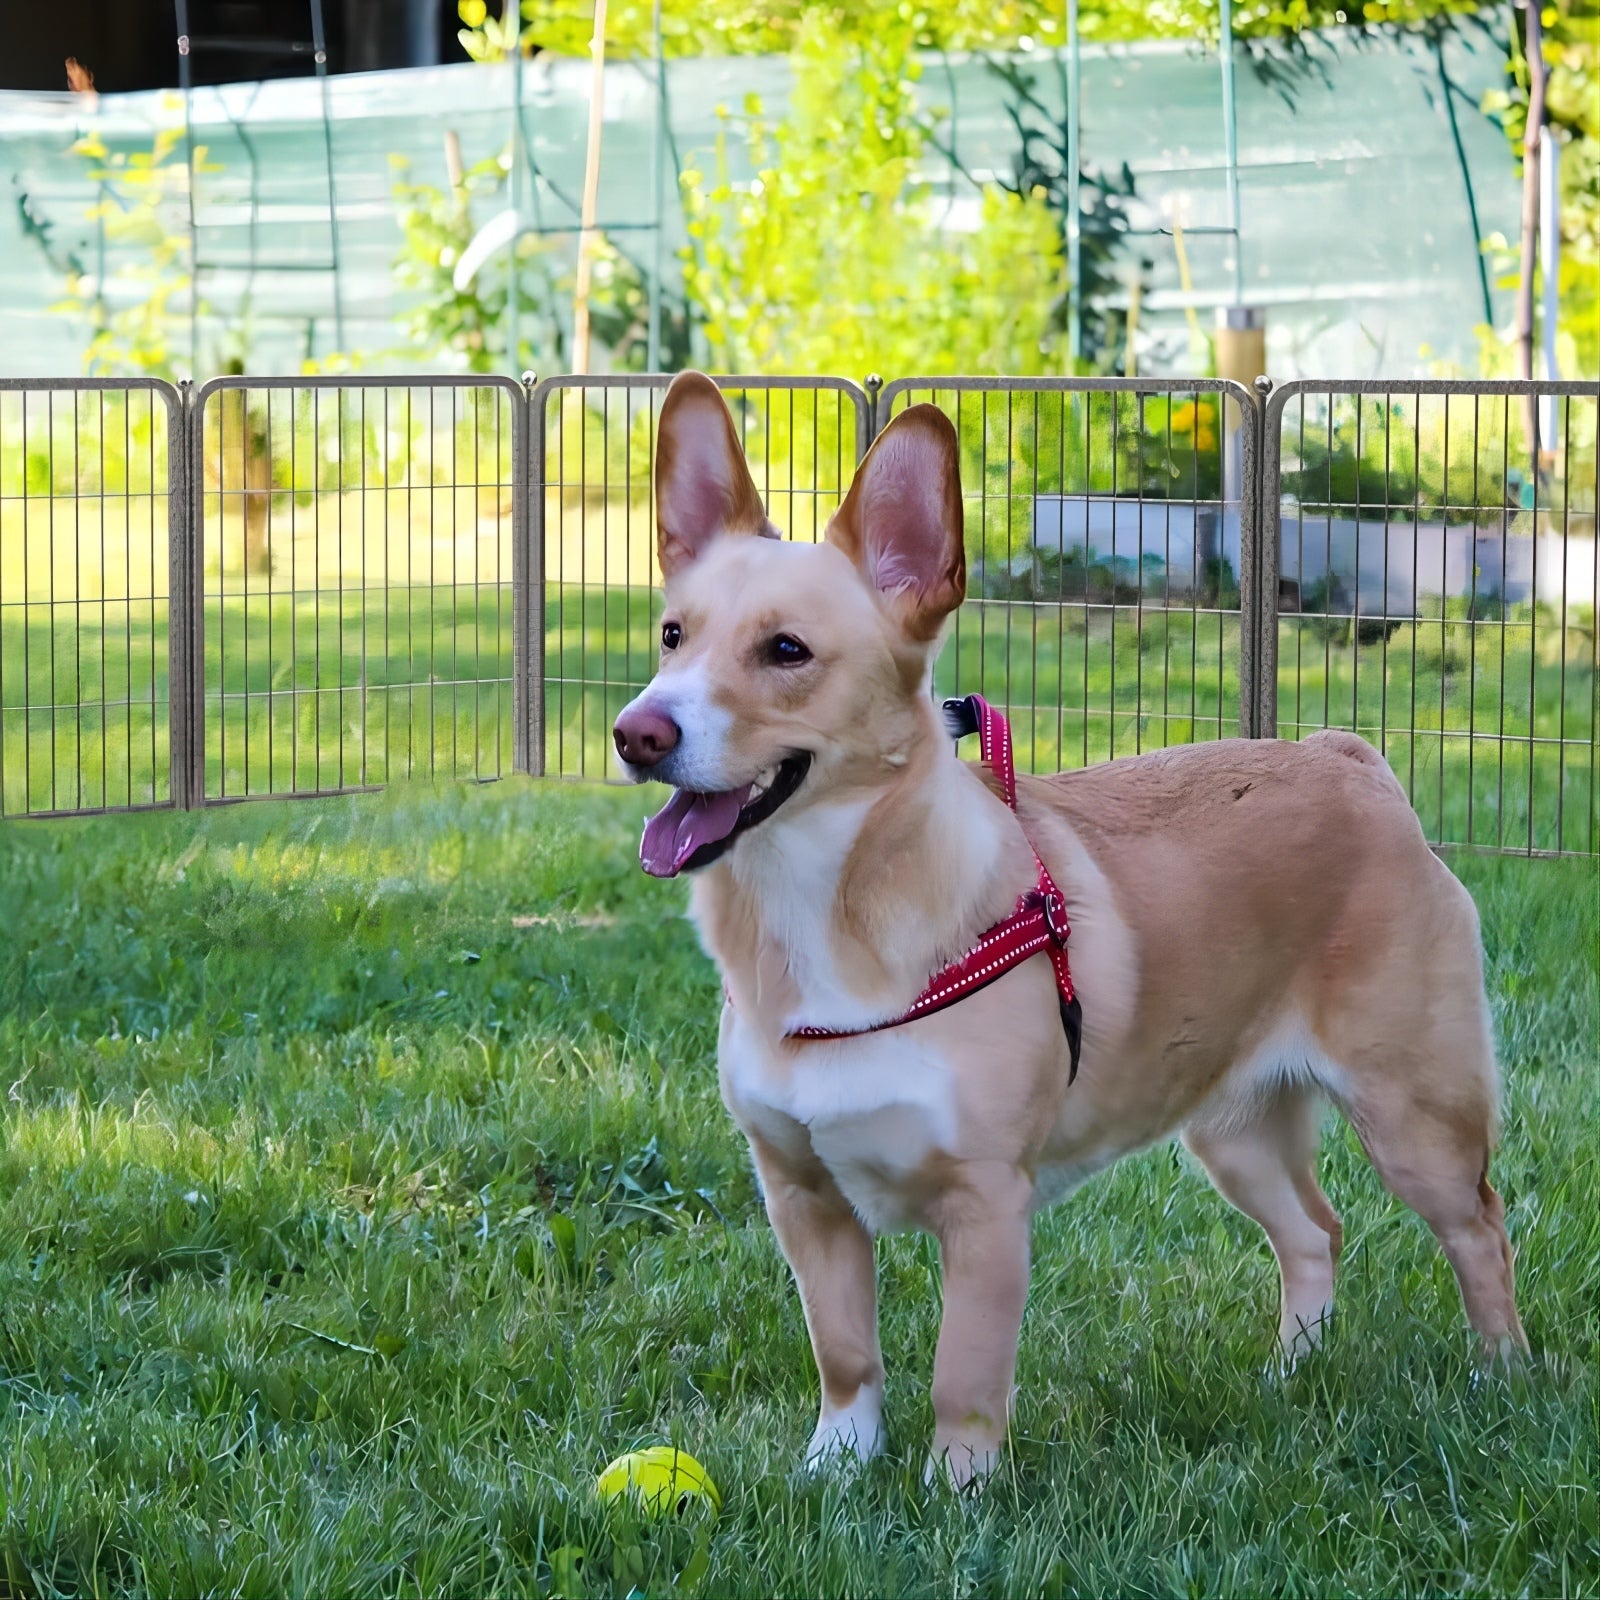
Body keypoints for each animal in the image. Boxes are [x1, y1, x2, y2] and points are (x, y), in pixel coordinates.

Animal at [608, 368, 1523, 1478]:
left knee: (1479, 1229)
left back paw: (1505, 1380)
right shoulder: (804, 1198)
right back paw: (1290, 1375)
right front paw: (835, 1472)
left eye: (787, 651)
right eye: (672, 636)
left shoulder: (987, 1208)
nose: (636, 733)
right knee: (1315, 1232)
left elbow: (962, 1382)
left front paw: (954, 1495)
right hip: (1235, 1131)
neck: (820, 914)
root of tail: (1347, 761)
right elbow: (847, 1360)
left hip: (1415, 1119)